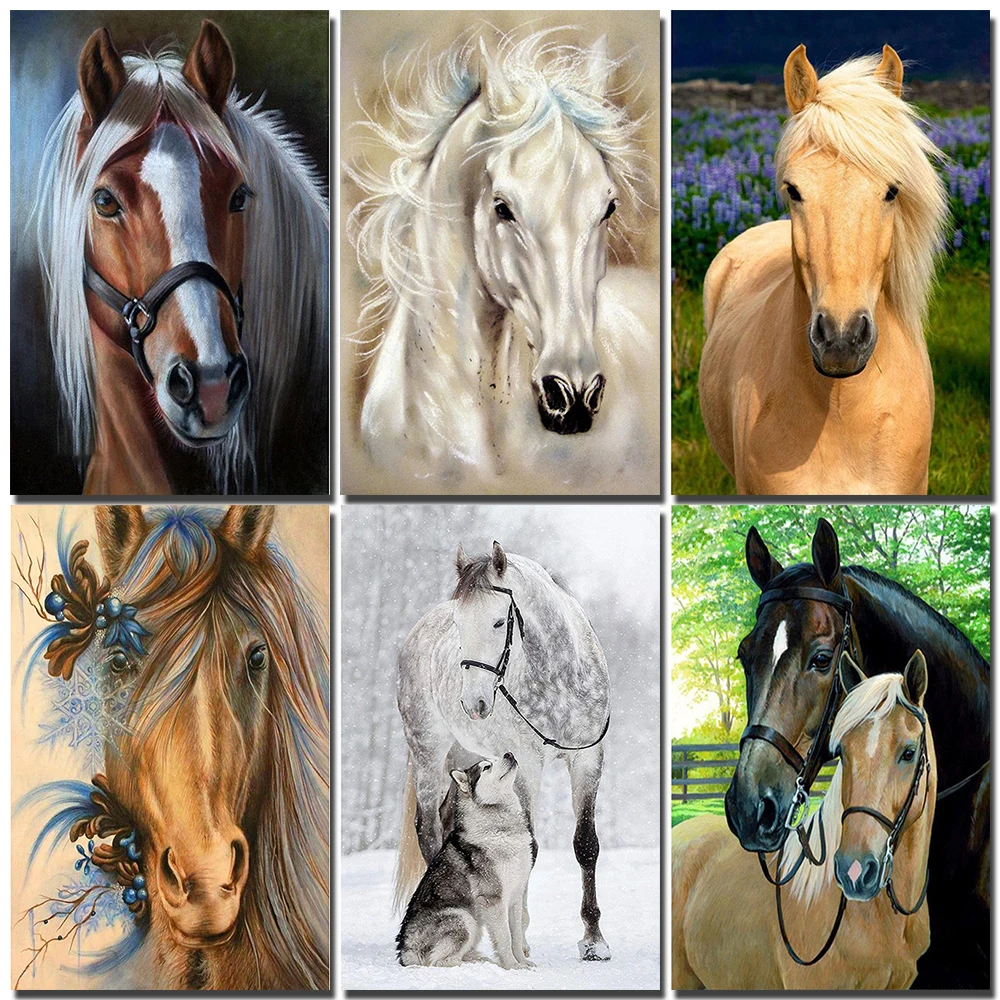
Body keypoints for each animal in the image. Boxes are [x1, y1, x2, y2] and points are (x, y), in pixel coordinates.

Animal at [394, 541, 612, 960]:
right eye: (459, 624)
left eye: (499, 622)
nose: (474, 703)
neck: (559, 676)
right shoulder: (527, 765)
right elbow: (530, 846)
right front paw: (521, 937)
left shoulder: (587, 759)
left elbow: (586, 845)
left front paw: (594, 941)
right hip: (428, 755)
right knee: (429, 832)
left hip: (465, 760)